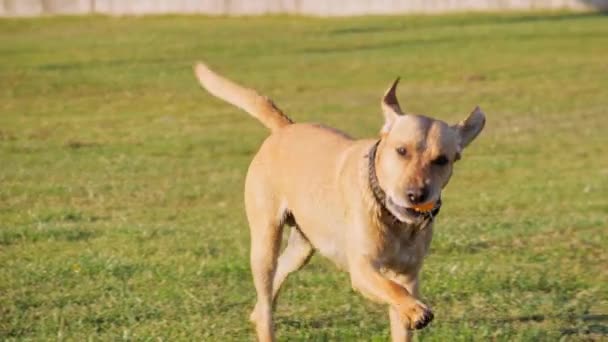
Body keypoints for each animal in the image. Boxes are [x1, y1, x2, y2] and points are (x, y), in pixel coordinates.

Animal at [194, 62, 484, 342]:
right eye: (401, 150)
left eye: (442, 160)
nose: (416, 195)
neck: (393, 219)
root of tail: (285, 128)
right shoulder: (363, 268)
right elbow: (391, 288)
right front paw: (416, 310)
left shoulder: (408, 274)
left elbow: (400, 311)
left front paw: (410, 312)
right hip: (265, 239)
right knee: (266, 296)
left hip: (302, 246)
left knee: (275, 282)